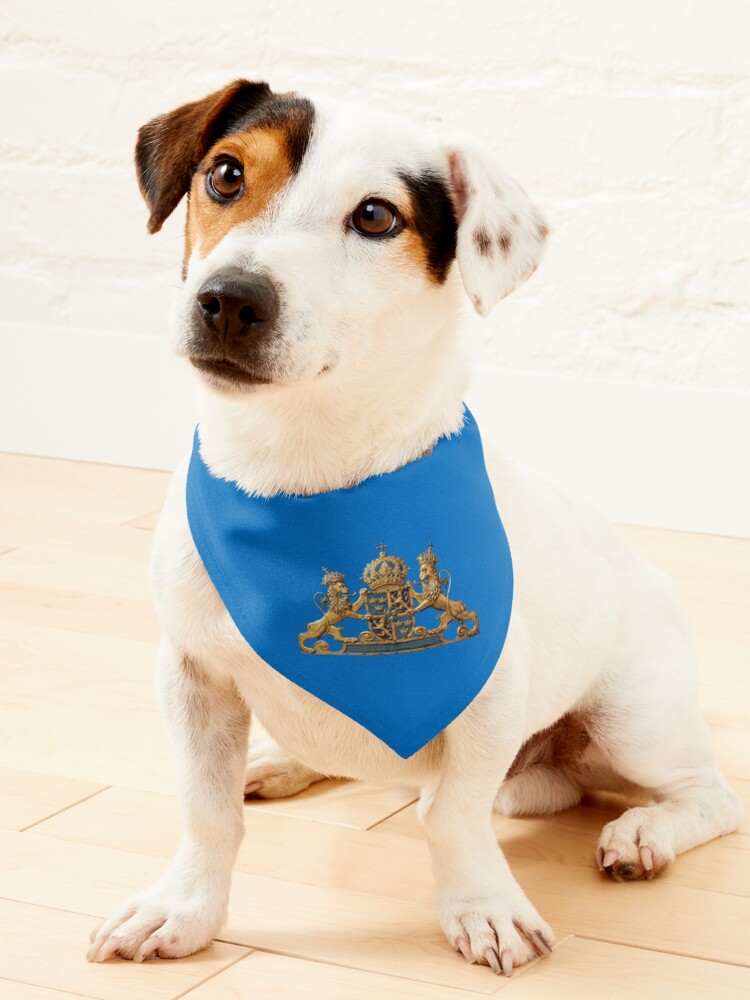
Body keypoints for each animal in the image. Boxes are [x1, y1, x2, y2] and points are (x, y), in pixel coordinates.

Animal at [85, 80, 744, 976]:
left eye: (375, 216)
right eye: (225, 174)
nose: (229, 299)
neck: (304, 472)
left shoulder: (486, 694)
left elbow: (453, 816)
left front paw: (483, 907)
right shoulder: (192, 677)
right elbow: (206, 810)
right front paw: (183, 909)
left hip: (634, 720)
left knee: (708, 796)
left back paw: (644, 833)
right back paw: (282, 761)